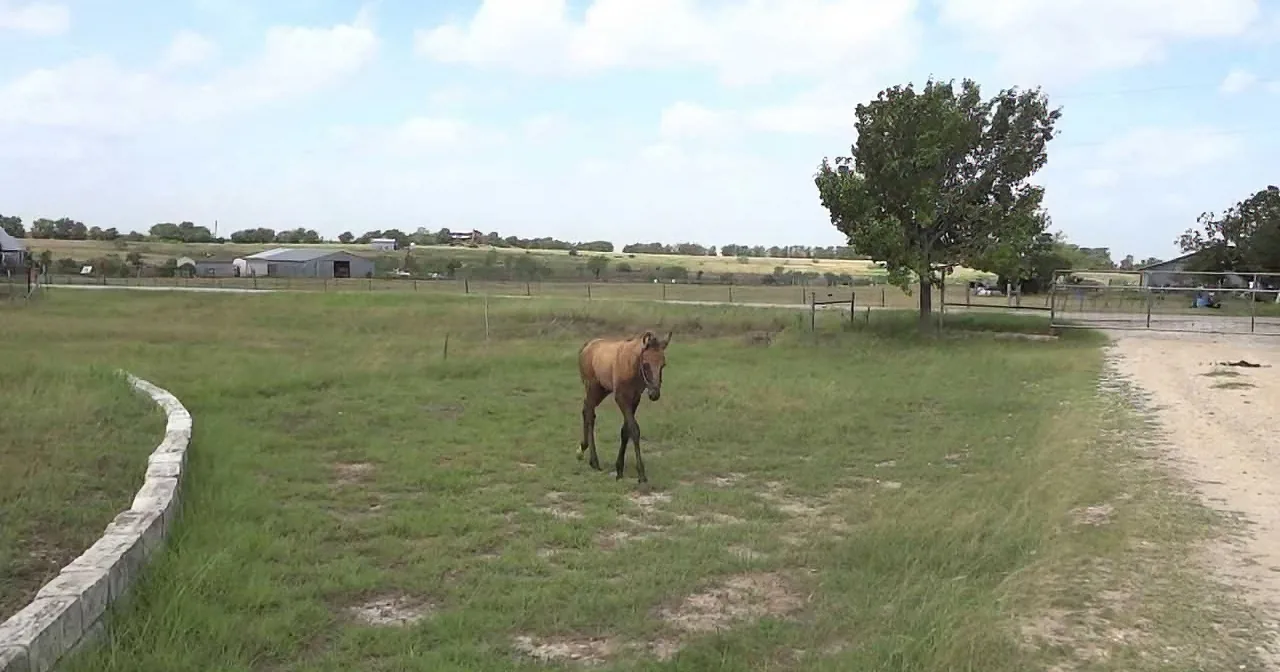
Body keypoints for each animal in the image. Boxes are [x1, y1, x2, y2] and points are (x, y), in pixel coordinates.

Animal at [577, 330, 672, 484]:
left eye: (663, 365)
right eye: (646, 364)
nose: (654, 394)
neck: (631, 365)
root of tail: (587, 346)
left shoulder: (635, 399)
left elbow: (625, 430)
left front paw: (619, 469)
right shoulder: (621, 398)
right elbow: (634, 429)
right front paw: (641, 474)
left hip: (602, 390)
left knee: (587, 410)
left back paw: (582, 449)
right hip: (592, 388)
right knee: (590, 414)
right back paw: (594, 461)